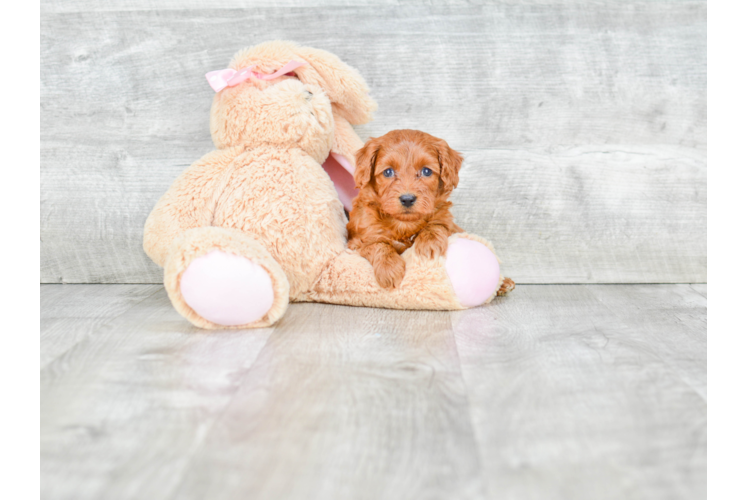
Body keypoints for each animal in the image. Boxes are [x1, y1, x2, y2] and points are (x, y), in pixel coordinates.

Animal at [350, 130, 464, 290]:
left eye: (426, 171)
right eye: (388, 172)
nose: (407, 199)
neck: (404, 224)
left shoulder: (451, 225)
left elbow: (438, 224)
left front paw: (430, 243)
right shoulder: (358, 241)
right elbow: (378, 245)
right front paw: (388, 268)